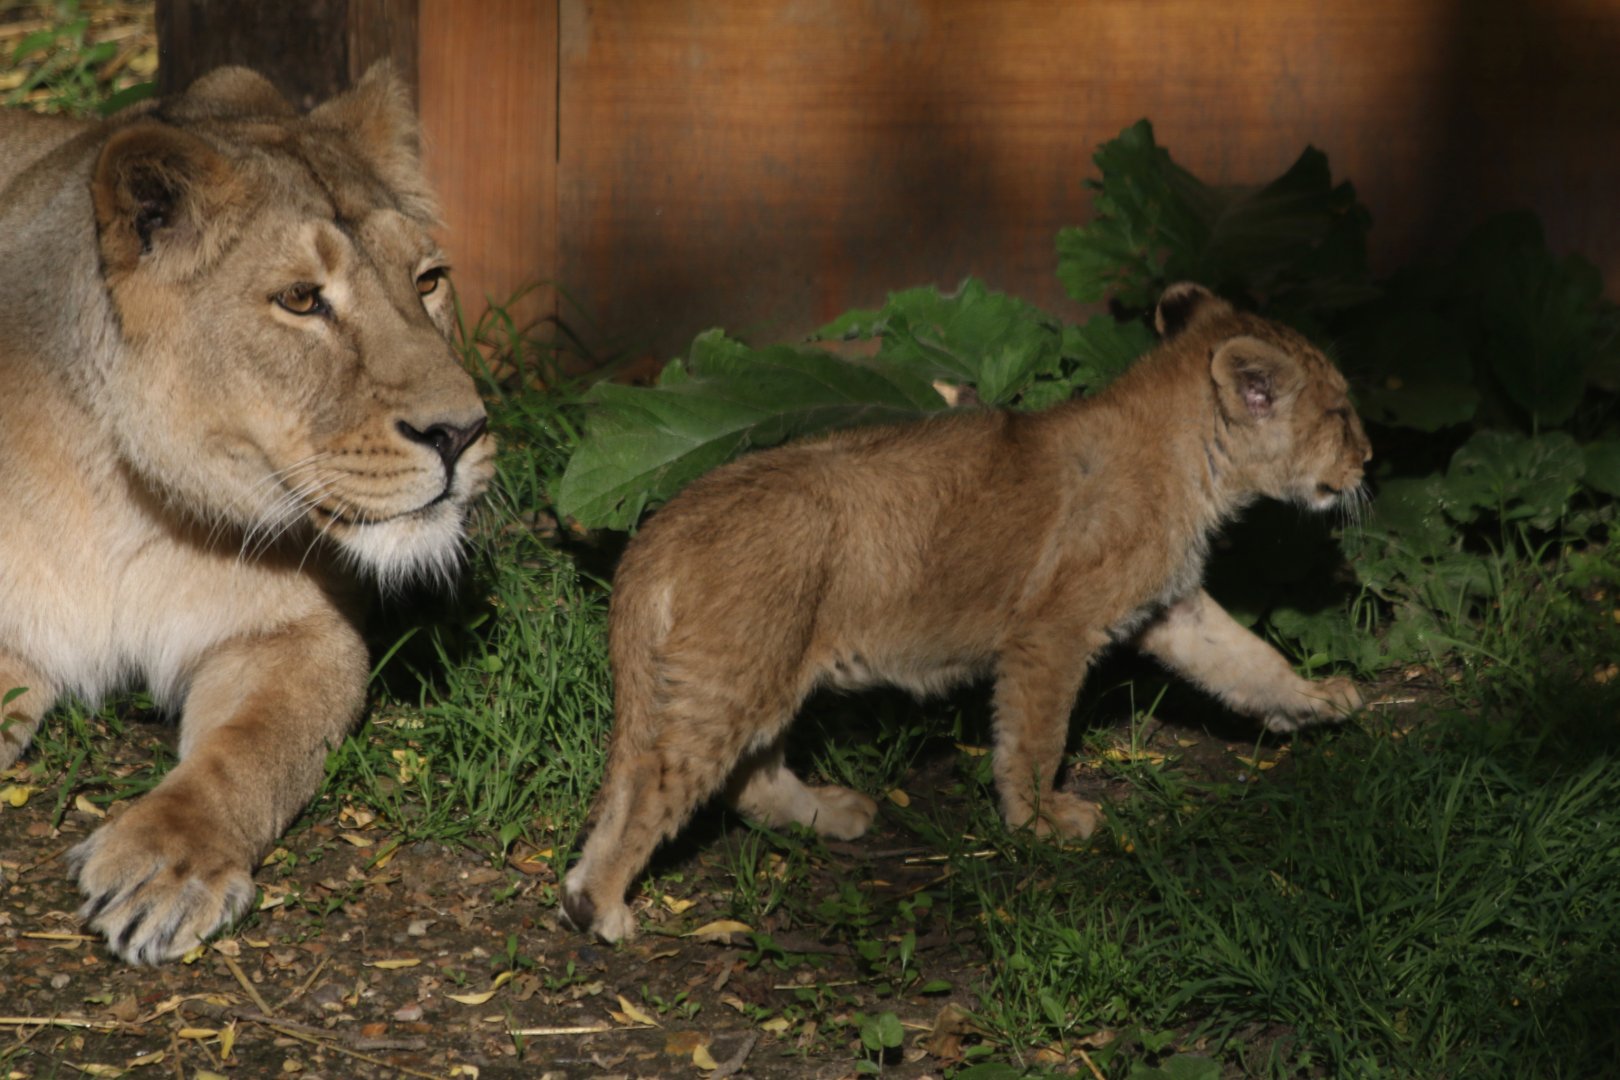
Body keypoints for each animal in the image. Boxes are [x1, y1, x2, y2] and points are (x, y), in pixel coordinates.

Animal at [0, 65, 494, 963]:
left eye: (428, 281)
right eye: (301, 299)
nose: (461, 432)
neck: (120, 501)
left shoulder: (294, 635)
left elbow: (247, 754)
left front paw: (168, 867)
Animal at [561, 283, 1372, 942]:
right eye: (1340, 413)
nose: (1370, 459)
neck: (1193, 457)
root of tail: (659, 534)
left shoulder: (1170, 608)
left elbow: (1250, 660)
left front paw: (1317, 702)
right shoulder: (1050, 631)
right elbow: (1037, 738)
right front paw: (1041, 821)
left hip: (755, 670)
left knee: (730, 775)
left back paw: (824, 817)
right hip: (735, 675)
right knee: (660, 782)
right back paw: (602, 906)